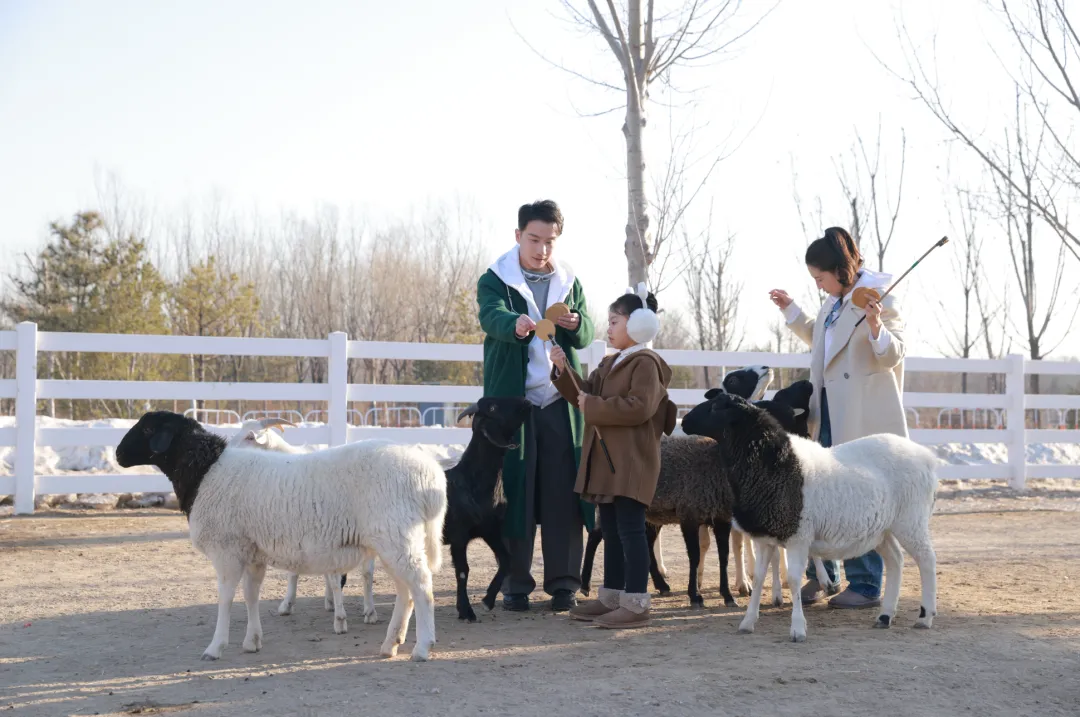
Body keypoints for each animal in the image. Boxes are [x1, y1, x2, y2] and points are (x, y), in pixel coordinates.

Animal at [680, 393, 939, 642]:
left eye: (717, 406)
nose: (684, 422)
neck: (775, 465)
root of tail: (926, 456)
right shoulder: (765, 538)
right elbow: (760, 578)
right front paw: (747, 622)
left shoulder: (798, 537)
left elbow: (794, 579)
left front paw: (798, 629)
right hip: (882, 529)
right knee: (896, 560)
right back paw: (885, 616)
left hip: (911, 520)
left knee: (927, 560)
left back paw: (925, 616)